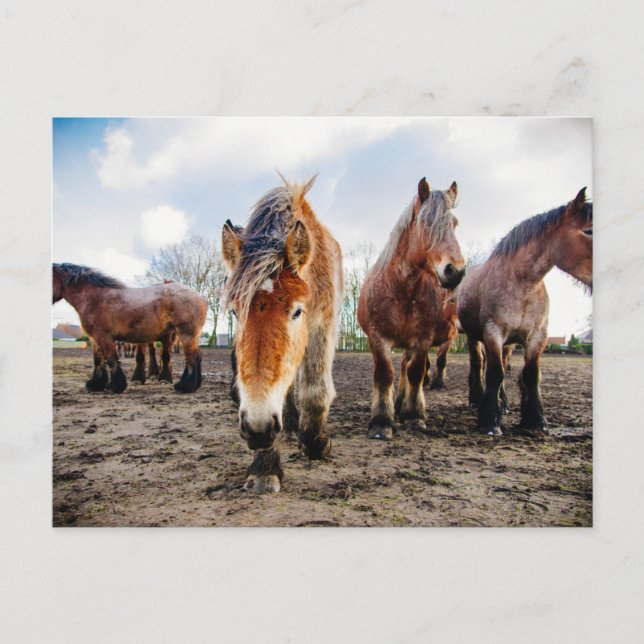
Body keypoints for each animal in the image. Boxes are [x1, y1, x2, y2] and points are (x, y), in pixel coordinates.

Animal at [52, 263, 207, 394]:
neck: (94, 298)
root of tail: (200, 297)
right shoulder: (94, 338)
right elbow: (98, 361)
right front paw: (95, 384)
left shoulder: (104, 336)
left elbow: (111, 359)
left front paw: (115, 386)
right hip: (192, 335)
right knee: (198, 356)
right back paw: (194, 385)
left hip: (186, 333)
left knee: (191, 358)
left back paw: (184, 386)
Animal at [222, 177, 342, 493]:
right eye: (236, 313)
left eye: (297, 312)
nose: (258, 428)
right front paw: (265, 468)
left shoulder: (323, 324)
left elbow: (315, 390)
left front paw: (316, 443)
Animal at [358, 177, 466, 440]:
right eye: (426, 222)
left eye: (454, 224)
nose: (455, 271)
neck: (402, 290)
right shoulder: (378, 338)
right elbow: (384, 374)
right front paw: (381, 422)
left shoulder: (422, 340)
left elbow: (416, 373)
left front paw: (414, 416)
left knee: (407, 368)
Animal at [458, 188, 592, 435]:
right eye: (588, 230)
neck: (523, 285)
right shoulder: (493, 333)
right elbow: (495, 374)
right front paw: (490, 422)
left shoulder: (537, 337)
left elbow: (530, 375)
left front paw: (536, 420)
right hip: (474, 337)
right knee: (478, 364)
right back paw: (478, 399)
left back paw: (504, 403)